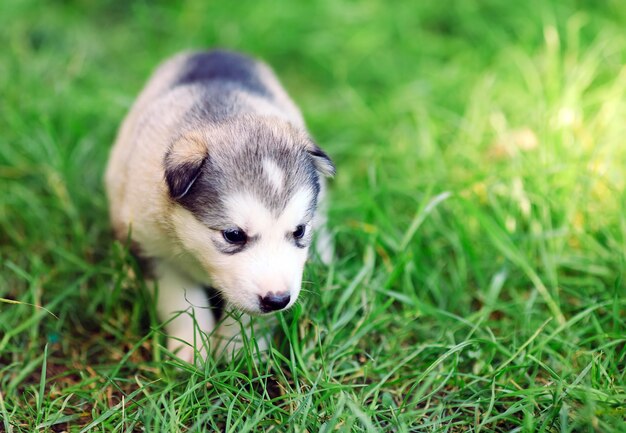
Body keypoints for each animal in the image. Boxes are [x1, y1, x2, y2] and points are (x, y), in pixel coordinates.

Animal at [105, 49, 334, 362]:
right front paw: (191, 352)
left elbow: (246, 316)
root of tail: (215, 50)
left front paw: (239, 351)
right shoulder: (150, 247)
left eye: (299, 231)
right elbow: (182, 303)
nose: (278, 300)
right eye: (233, 235)